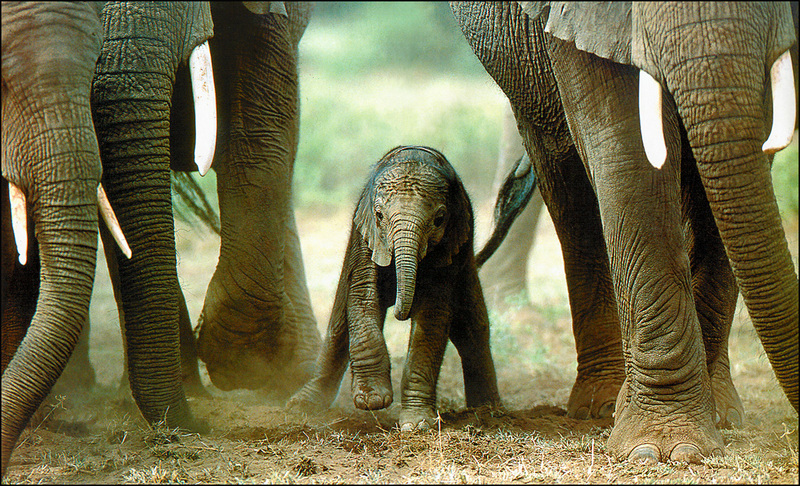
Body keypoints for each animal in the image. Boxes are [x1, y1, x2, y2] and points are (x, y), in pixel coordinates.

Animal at [288, 146, 500, 430]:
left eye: (439, 219)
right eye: (379, 216)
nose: (401, 314)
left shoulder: (450, 248)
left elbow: (432, 315)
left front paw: (417, 424)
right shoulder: (365, 236)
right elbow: (364, 296)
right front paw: (372, 400)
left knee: (472, 328)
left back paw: (489, 410)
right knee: (338, 327)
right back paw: (301, 407)